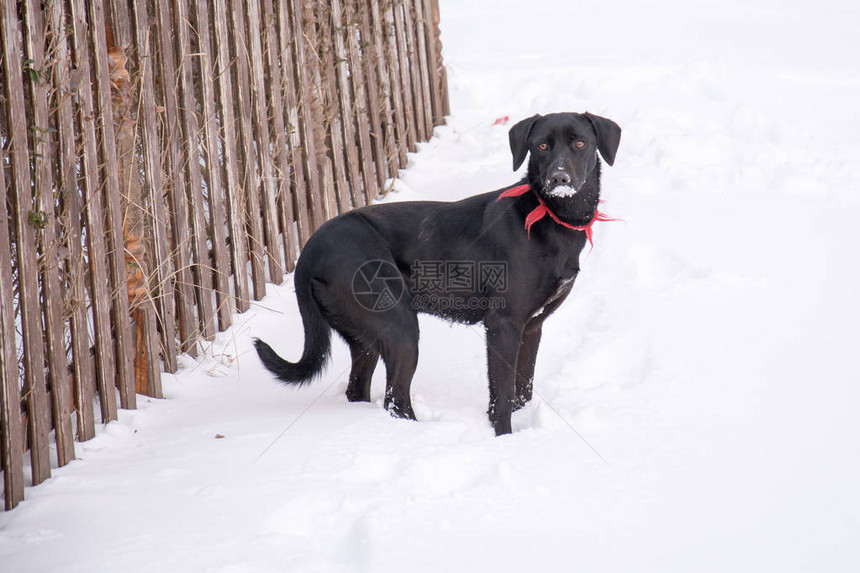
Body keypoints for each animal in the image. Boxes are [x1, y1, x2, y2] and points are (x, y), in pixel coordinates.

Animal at [252, 111, 620, 434]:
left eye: (580, 143)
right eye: (542, 145)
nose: (559, 179)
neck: (551, 216)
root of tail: (309, 251)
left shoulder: (532, 327)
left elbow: (522, 390)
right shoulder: (503, 325)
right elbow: (502, 397)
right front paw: (503, 437)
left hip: (365, 338)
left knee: (361, 389)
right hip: (399, 327)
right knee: (396, 401)